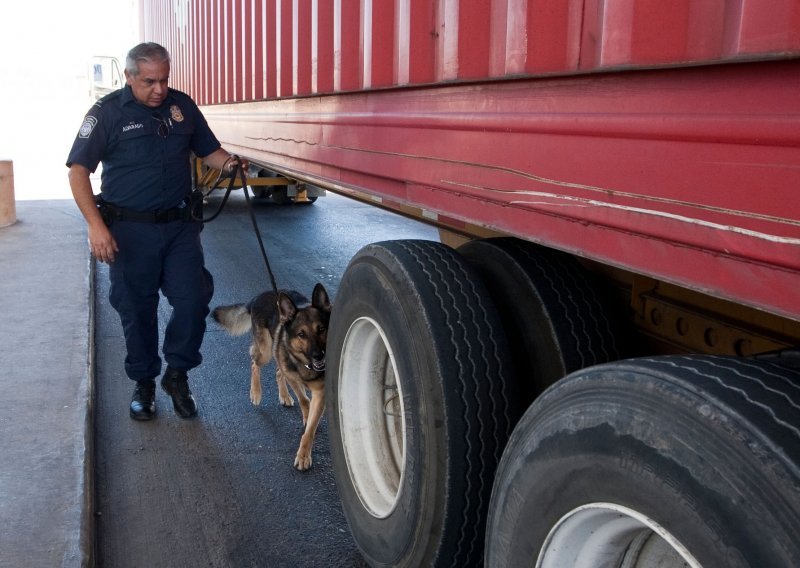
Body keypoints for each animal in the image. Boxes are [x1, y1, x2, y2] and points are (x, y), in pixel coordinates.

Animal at [211, 284, 332, 470]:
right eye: (301, 334)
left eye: (321, 329)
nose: (319, 356)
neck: (305, 364)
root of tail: (257, 297)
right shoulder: (293, 377)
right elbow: (304, 400)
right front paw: (306, 415)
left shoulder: (320, 393)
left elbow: (310, 429)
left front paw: (304, 454)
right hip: (266, 351)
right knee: (254, 363)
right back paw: (256, 392)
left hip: (277, 352)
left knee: (277, 372)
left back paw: (284, 396)